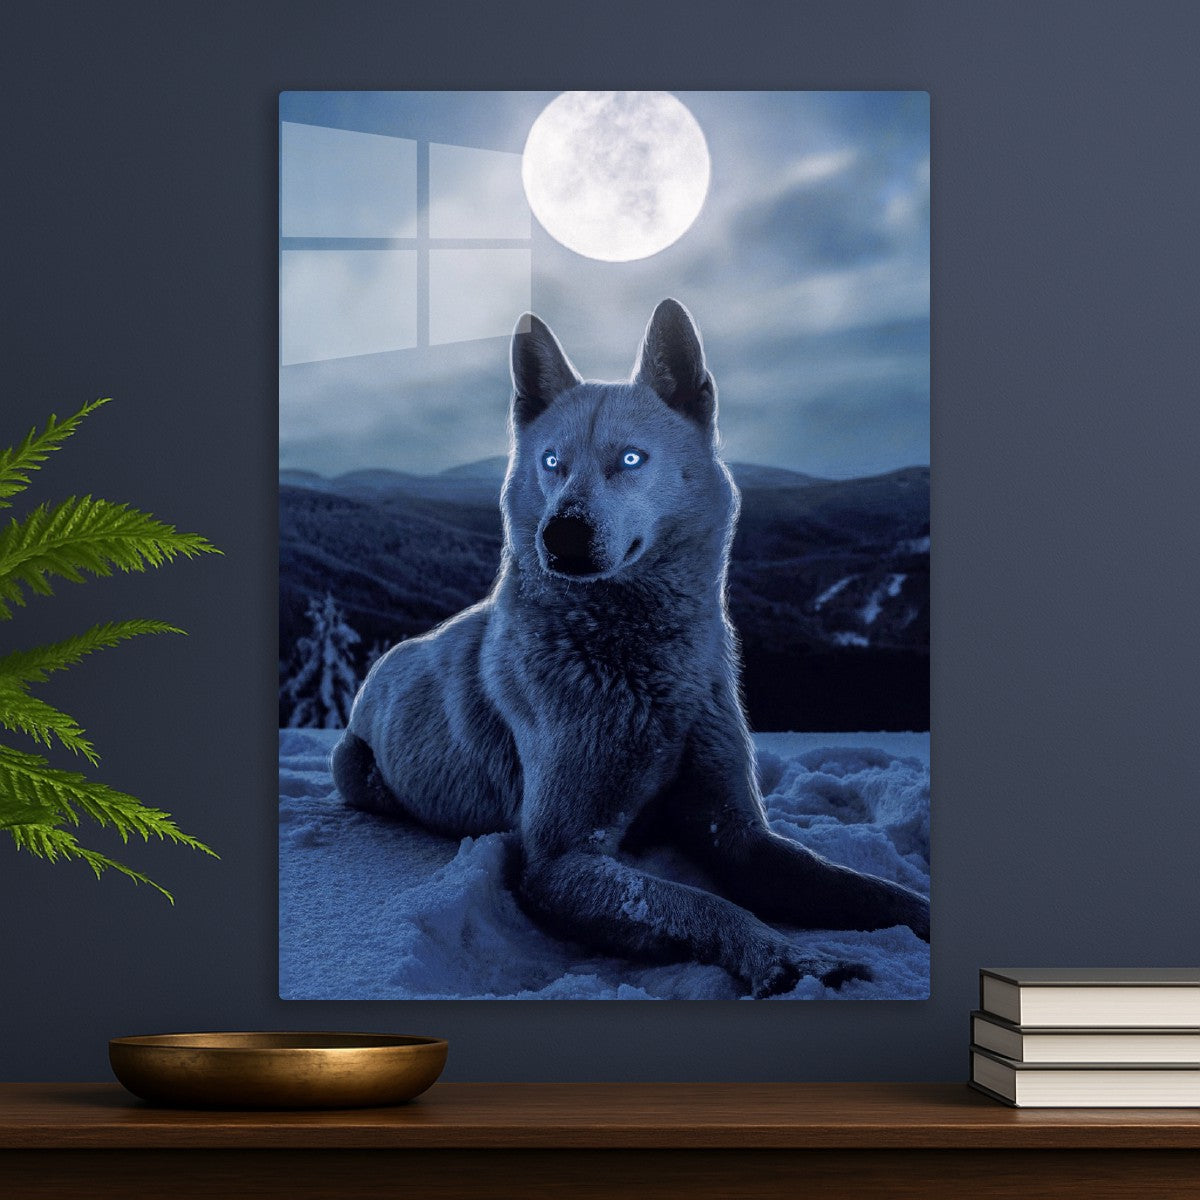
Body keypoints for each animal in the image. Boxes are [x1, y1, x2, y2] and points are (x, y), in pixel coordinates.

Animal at [332, 299, 929, 997]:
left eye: (632, 459)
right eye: (553, 463)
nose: (560, 535)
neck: (642, 669)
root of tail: (388, 659)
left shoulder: (738, 833)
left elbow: (866, 889)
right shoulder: (560, 862)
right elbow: (700, 902)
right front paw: (789, 959)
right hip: (353, 769)